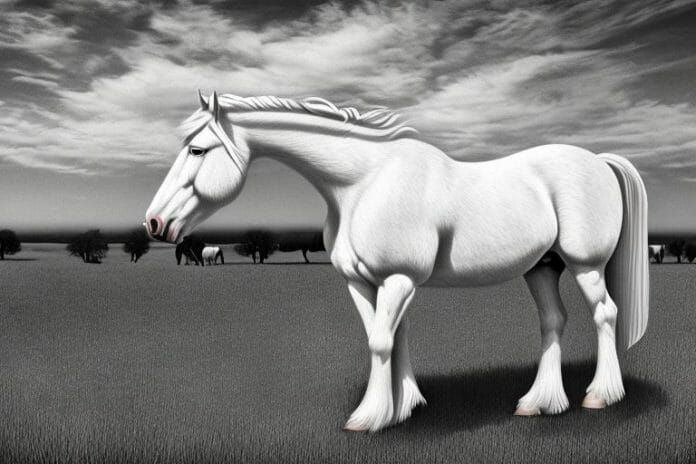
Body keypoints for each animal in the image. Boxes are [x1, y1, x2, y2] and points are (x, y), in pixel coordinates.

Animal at [145, 91, 649, 432]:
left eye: (196, 150)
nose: (154, 222)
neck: (364, 183)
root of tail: (599, 161)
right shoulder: (365, 282)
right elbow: (391, 337)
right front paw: (405, 406)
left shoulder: (399, 278)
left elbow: (382, 342)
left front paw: (370, 417)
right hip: (541, 267)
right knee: (553, 321)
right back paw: (539, 403)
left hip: (584, 264)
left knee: (605, 314)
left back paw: (600, 397)